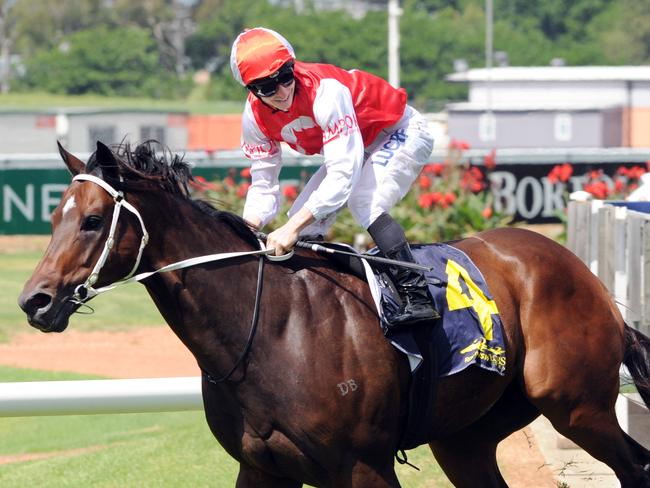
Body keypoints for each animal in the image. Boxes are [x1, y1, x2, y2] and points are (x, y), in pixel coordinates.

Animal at [17, 139, 648, 486]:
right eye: (53, 218)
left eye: (92, 220)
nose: (34, 301)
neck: (270, 332)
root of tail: (579, 269)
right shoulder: (262, 469)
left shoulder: (363, 466)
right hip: (467, 436)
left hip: (574, 404)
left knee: (634, 465)